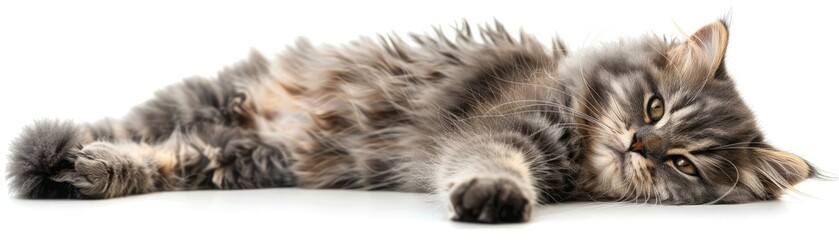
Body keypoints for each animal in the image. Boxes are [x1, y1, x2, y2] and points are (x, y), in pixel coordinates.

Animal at [6, 20, 816, 223]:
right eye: (653, 107)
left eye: (683, 163)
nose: (641, 145)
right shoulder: (499, 131)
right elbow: (491, 166)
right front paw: (494, 200)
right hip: (196, 104)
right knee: (122, 123)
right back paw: (67, 159)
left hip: (227, 156)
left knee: (162, 157)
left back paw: (91, 170)